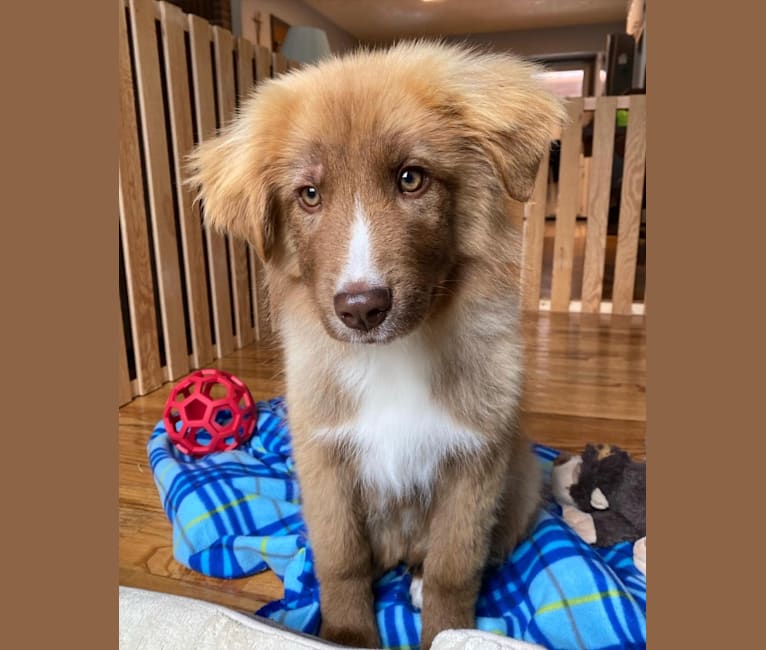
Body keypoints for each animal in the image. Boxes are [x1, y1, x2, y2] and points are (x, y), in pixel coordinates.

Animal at [190, 41, 568, 648]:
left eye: (411, 178)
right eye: (310, 195)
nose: (361, 308)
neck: (393, 357)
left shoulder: (475, 466)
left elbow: (452, 573)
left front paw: (447, 629)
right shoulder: (325, 463)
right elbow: (340, 562)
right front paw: (345, 633)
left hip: (523, 479)